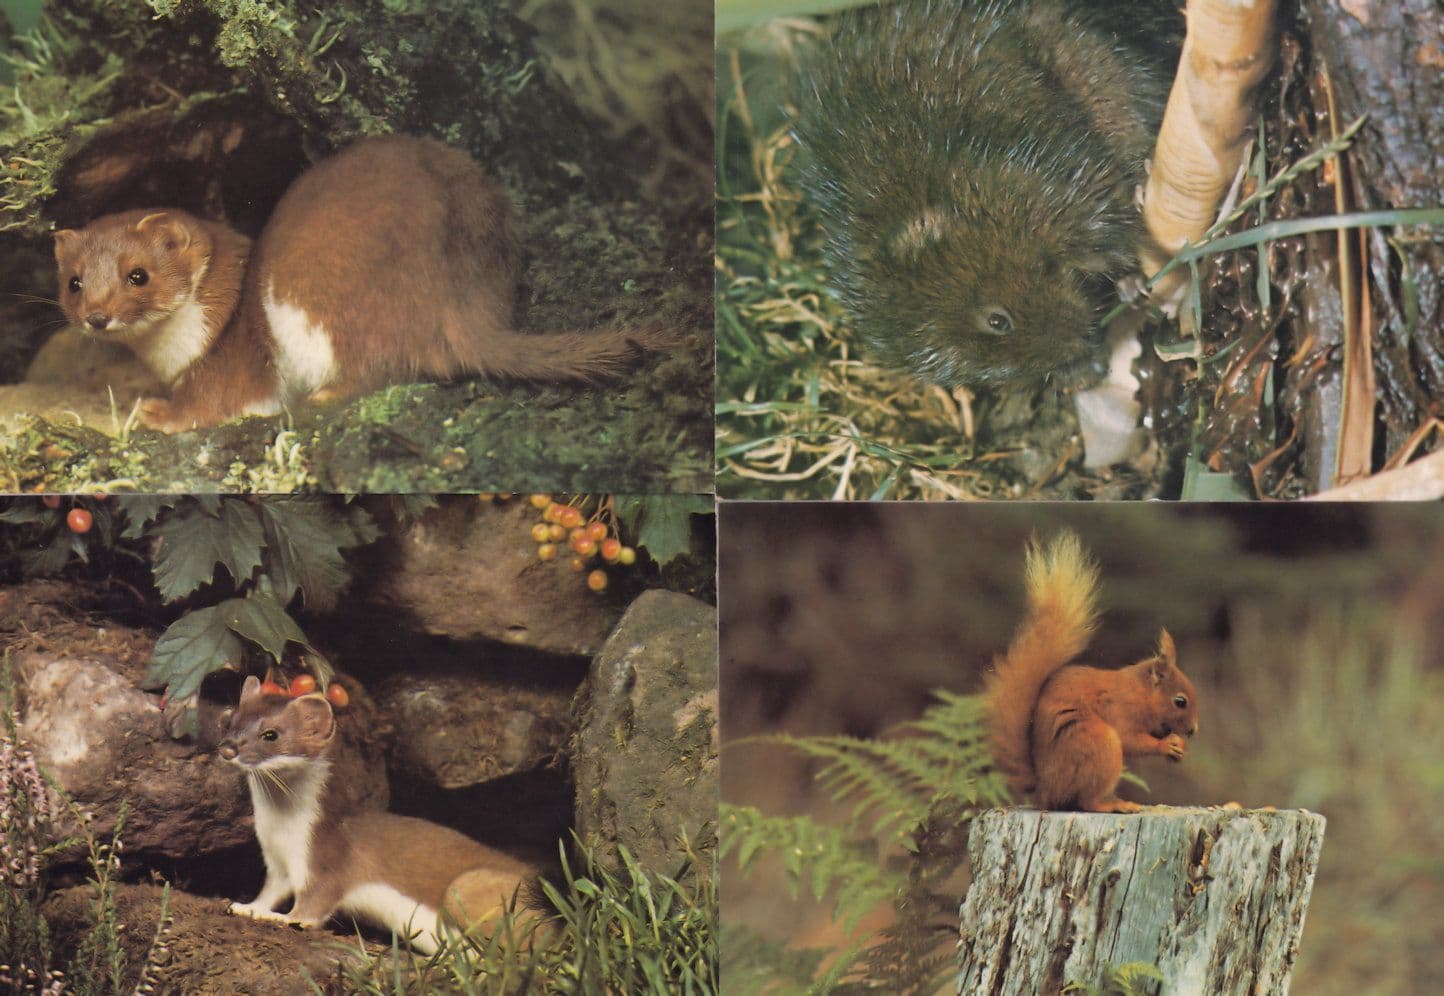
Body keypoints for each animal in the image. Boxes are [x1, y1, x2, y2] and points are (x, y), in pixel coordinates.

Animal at [53, 135, 673, 433]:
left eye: (138, 274)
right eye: (75, 283)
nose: (97, 317)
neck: (174, 352)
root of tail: (457, 295)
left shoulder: (231, 362)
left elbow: (212, 402)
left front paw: (157, 413)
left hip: (316, 287)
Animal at [217, 675, 537, 952]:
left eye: (270, 734)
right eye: (230, 720)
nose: (227, 749)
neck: (282, 831)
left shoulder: (325, 856)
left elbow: (313, 907)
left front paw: (278, 917)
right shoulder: (277, 863)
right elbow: (271, 891)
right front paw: (247, 907)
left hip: (472, 886)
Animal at [983, 532, 1198, 813]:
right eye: (1180, 701)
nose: (1194, 730)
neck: (1139, 693)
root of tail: (1044, 791)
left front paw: (1178, 746)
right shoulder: (1120, 711)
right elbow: (1130, 739)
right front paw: (1165, 745)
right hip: (1098, 744)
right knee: (1087, 800)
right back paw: (1116, 805)